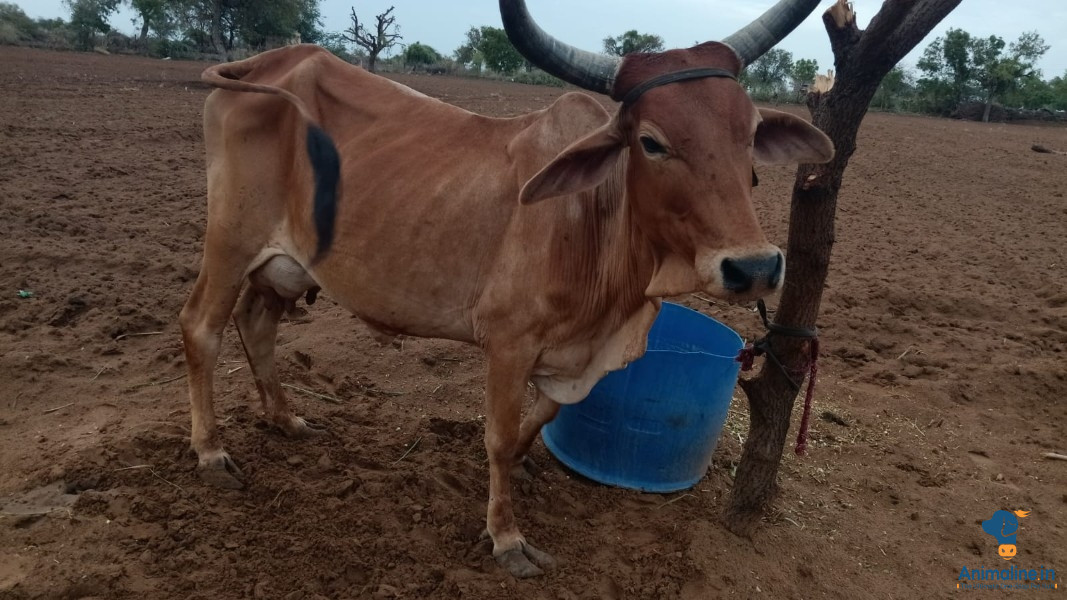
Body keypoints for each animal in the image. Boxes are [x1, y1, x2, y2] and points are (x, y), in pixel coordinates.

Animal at [180, 0, 833, 578]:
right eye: (651, 141)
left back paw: (286, 419)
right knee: (201, 327)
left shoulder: (569, 356)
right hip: (230, 241)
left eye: (750, 132)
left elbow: (540, 417)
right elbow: (496, 436)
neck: (593, 223)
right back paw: (211, 452)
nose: (752, 267)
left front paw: (518, 469)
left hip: (284, 267)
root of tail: (273, 60)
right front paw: (507, 538)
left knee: (256, 324)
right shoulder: (508, 343)